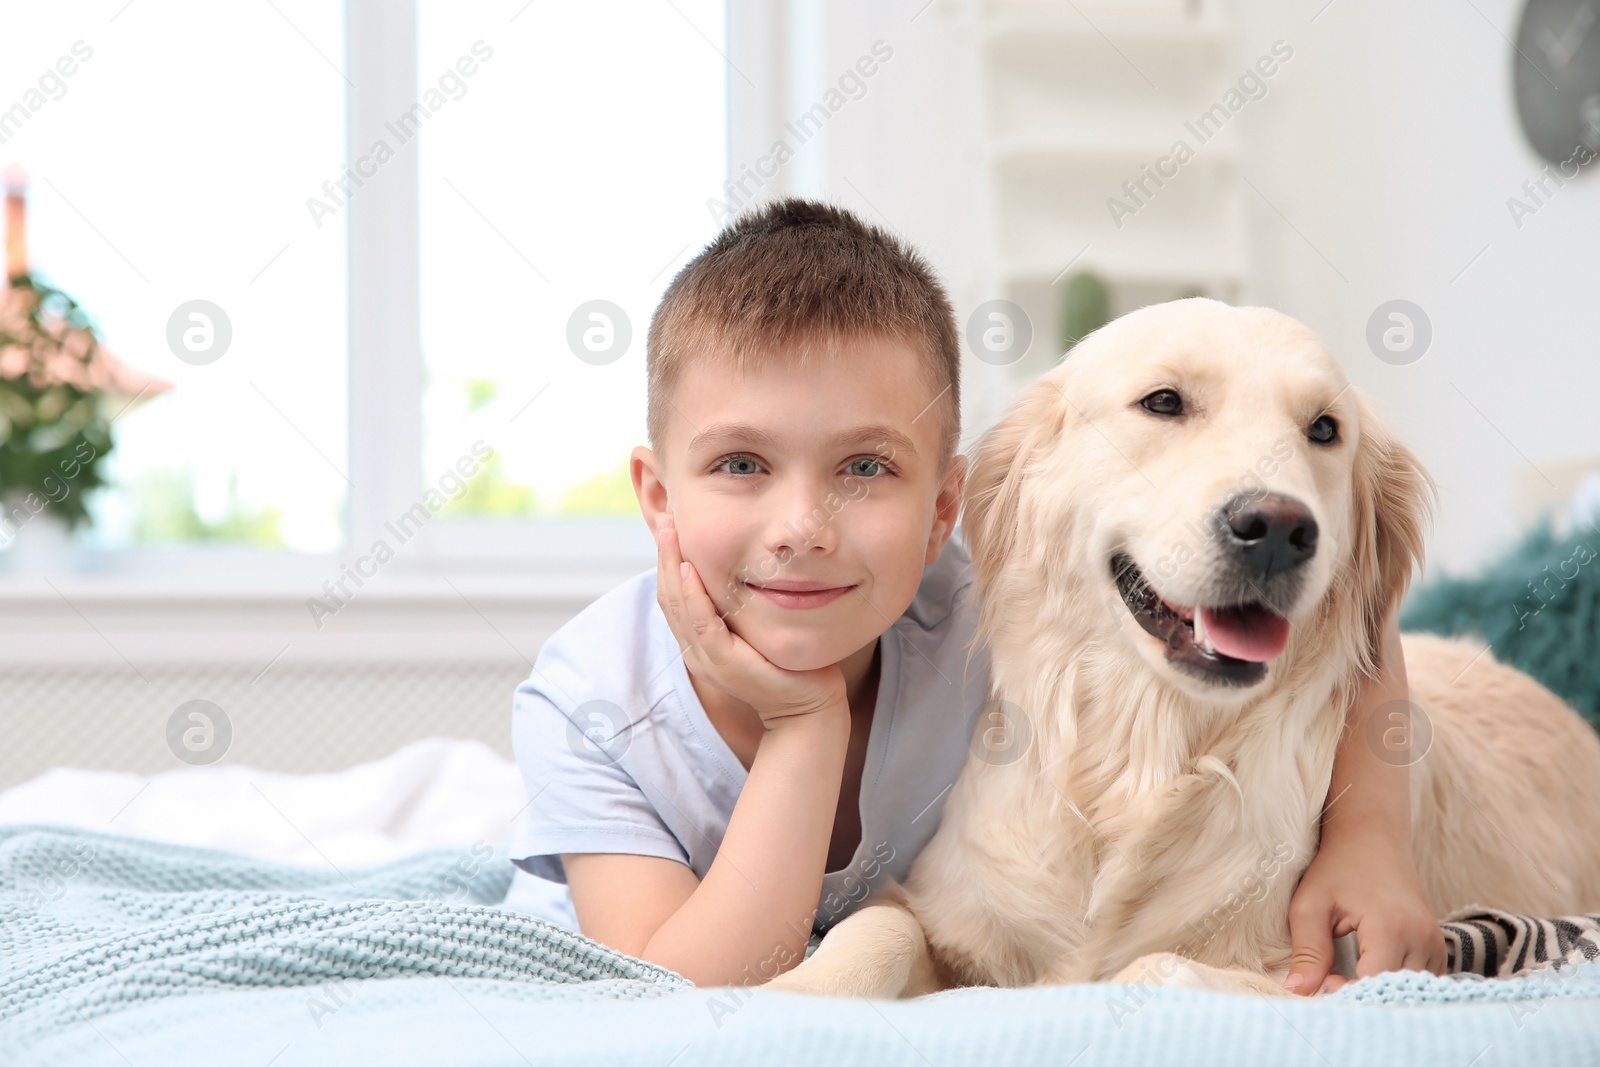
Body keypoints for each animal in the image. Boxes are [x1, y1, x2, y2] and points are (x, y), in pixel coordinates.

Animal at [761, 295, 1600, 998]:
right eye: (1164, 401)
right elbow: (878, 925)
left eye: (1324, 429)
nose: (1278, 528)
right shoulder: (937, 907)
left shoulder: (1329, 974)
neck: (1141, 755)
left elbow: (1151, 966)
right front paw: (795, 994)